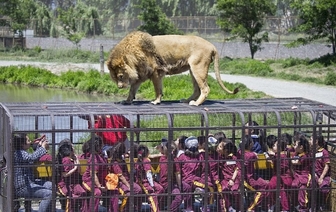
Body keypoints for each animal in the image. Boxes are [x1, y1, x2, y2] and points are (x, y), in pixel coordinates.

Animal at [106, 30, 238, 106]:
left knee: (205, 88)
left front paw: (156, 101)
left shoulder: (156, 72)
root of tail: (212, 46)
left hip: (198, 68)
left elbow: (157, 89)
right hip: (192, 70)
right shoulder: (140, 75)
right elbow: (132, 90)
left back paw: (196, 103)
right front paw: (127, 101)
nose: (119, 86)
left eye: (120, 76)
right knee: (197, 89)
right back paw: (186, 100)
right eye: (115, 78)